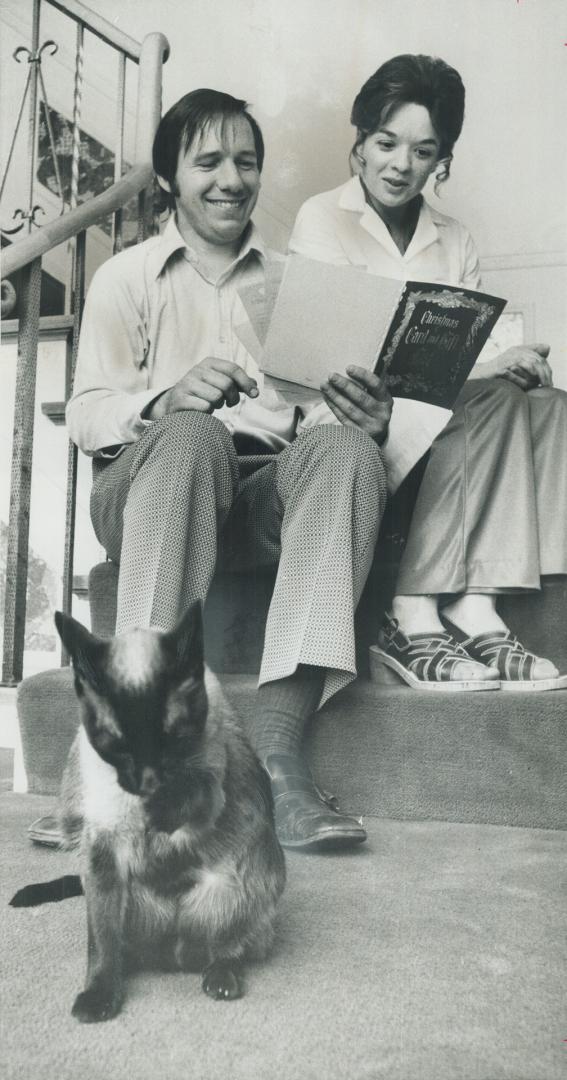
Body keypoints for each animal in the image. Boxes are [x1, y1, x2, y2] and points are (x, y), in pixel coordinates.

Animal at [15, 609, 285, 1019]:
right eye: (116, 742)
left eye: (171, 737)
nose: (147, 782)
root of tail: (175, 956)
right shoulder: (102, 851)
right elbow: (102, 943)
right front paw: (100, 997)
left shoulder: (207, 789)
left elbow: (189, 794)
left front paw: (159, 809)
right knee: (124, 947)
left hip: (250, 879)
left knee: (229, 949)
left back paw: (220, 978)